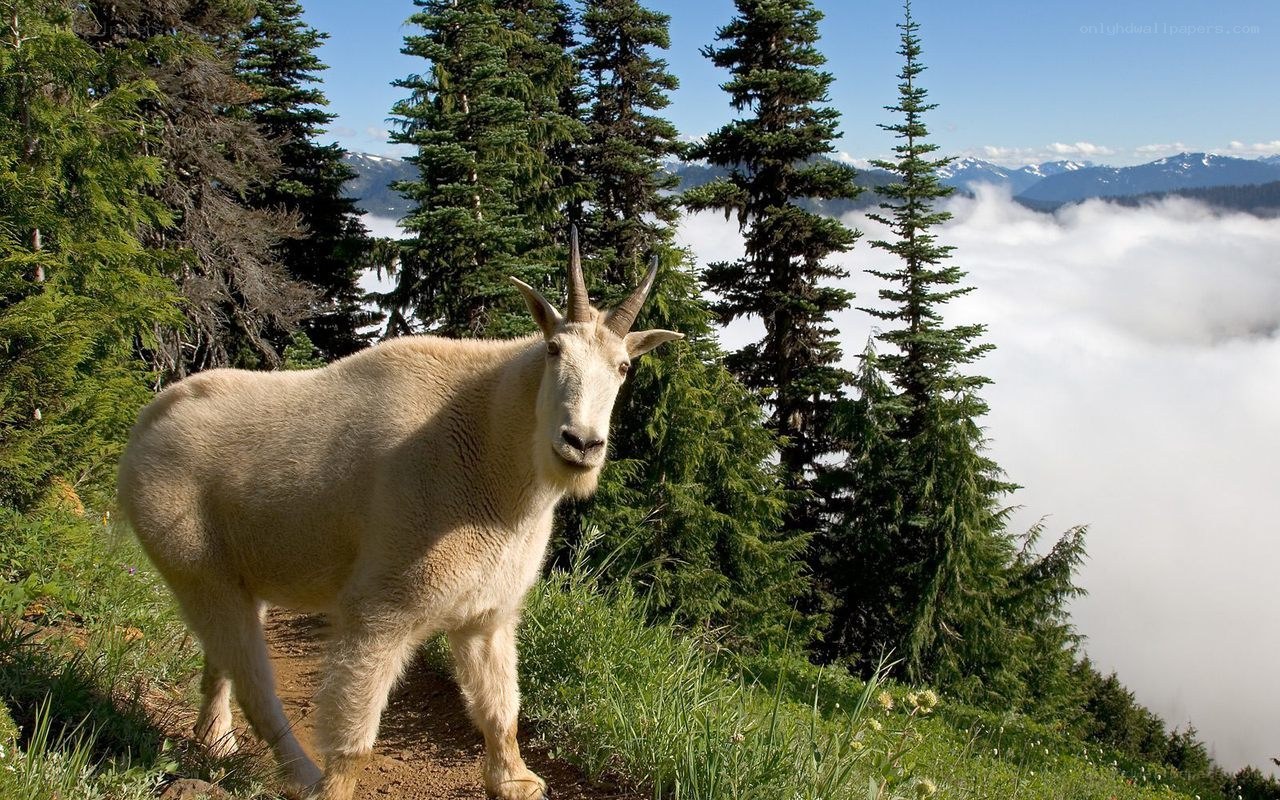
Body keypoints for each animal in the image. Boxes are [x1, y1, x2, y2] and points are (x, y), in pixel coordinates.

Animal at [117, 230, 681, 800]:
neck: (496, 449)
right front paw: (334, 788)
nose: (581, 444)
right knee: (252, 677)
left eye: (623, 367)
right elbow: (356, 731)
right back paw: (298, 774)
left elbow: (501, 709)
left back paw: (216, 740)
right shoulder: (382, 609)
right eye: (553, 349)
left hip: (239, 571)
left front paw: (515, 780)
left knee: (222, 656)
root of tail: (147, 422)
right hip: (192, 561)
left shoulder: (487, 614)